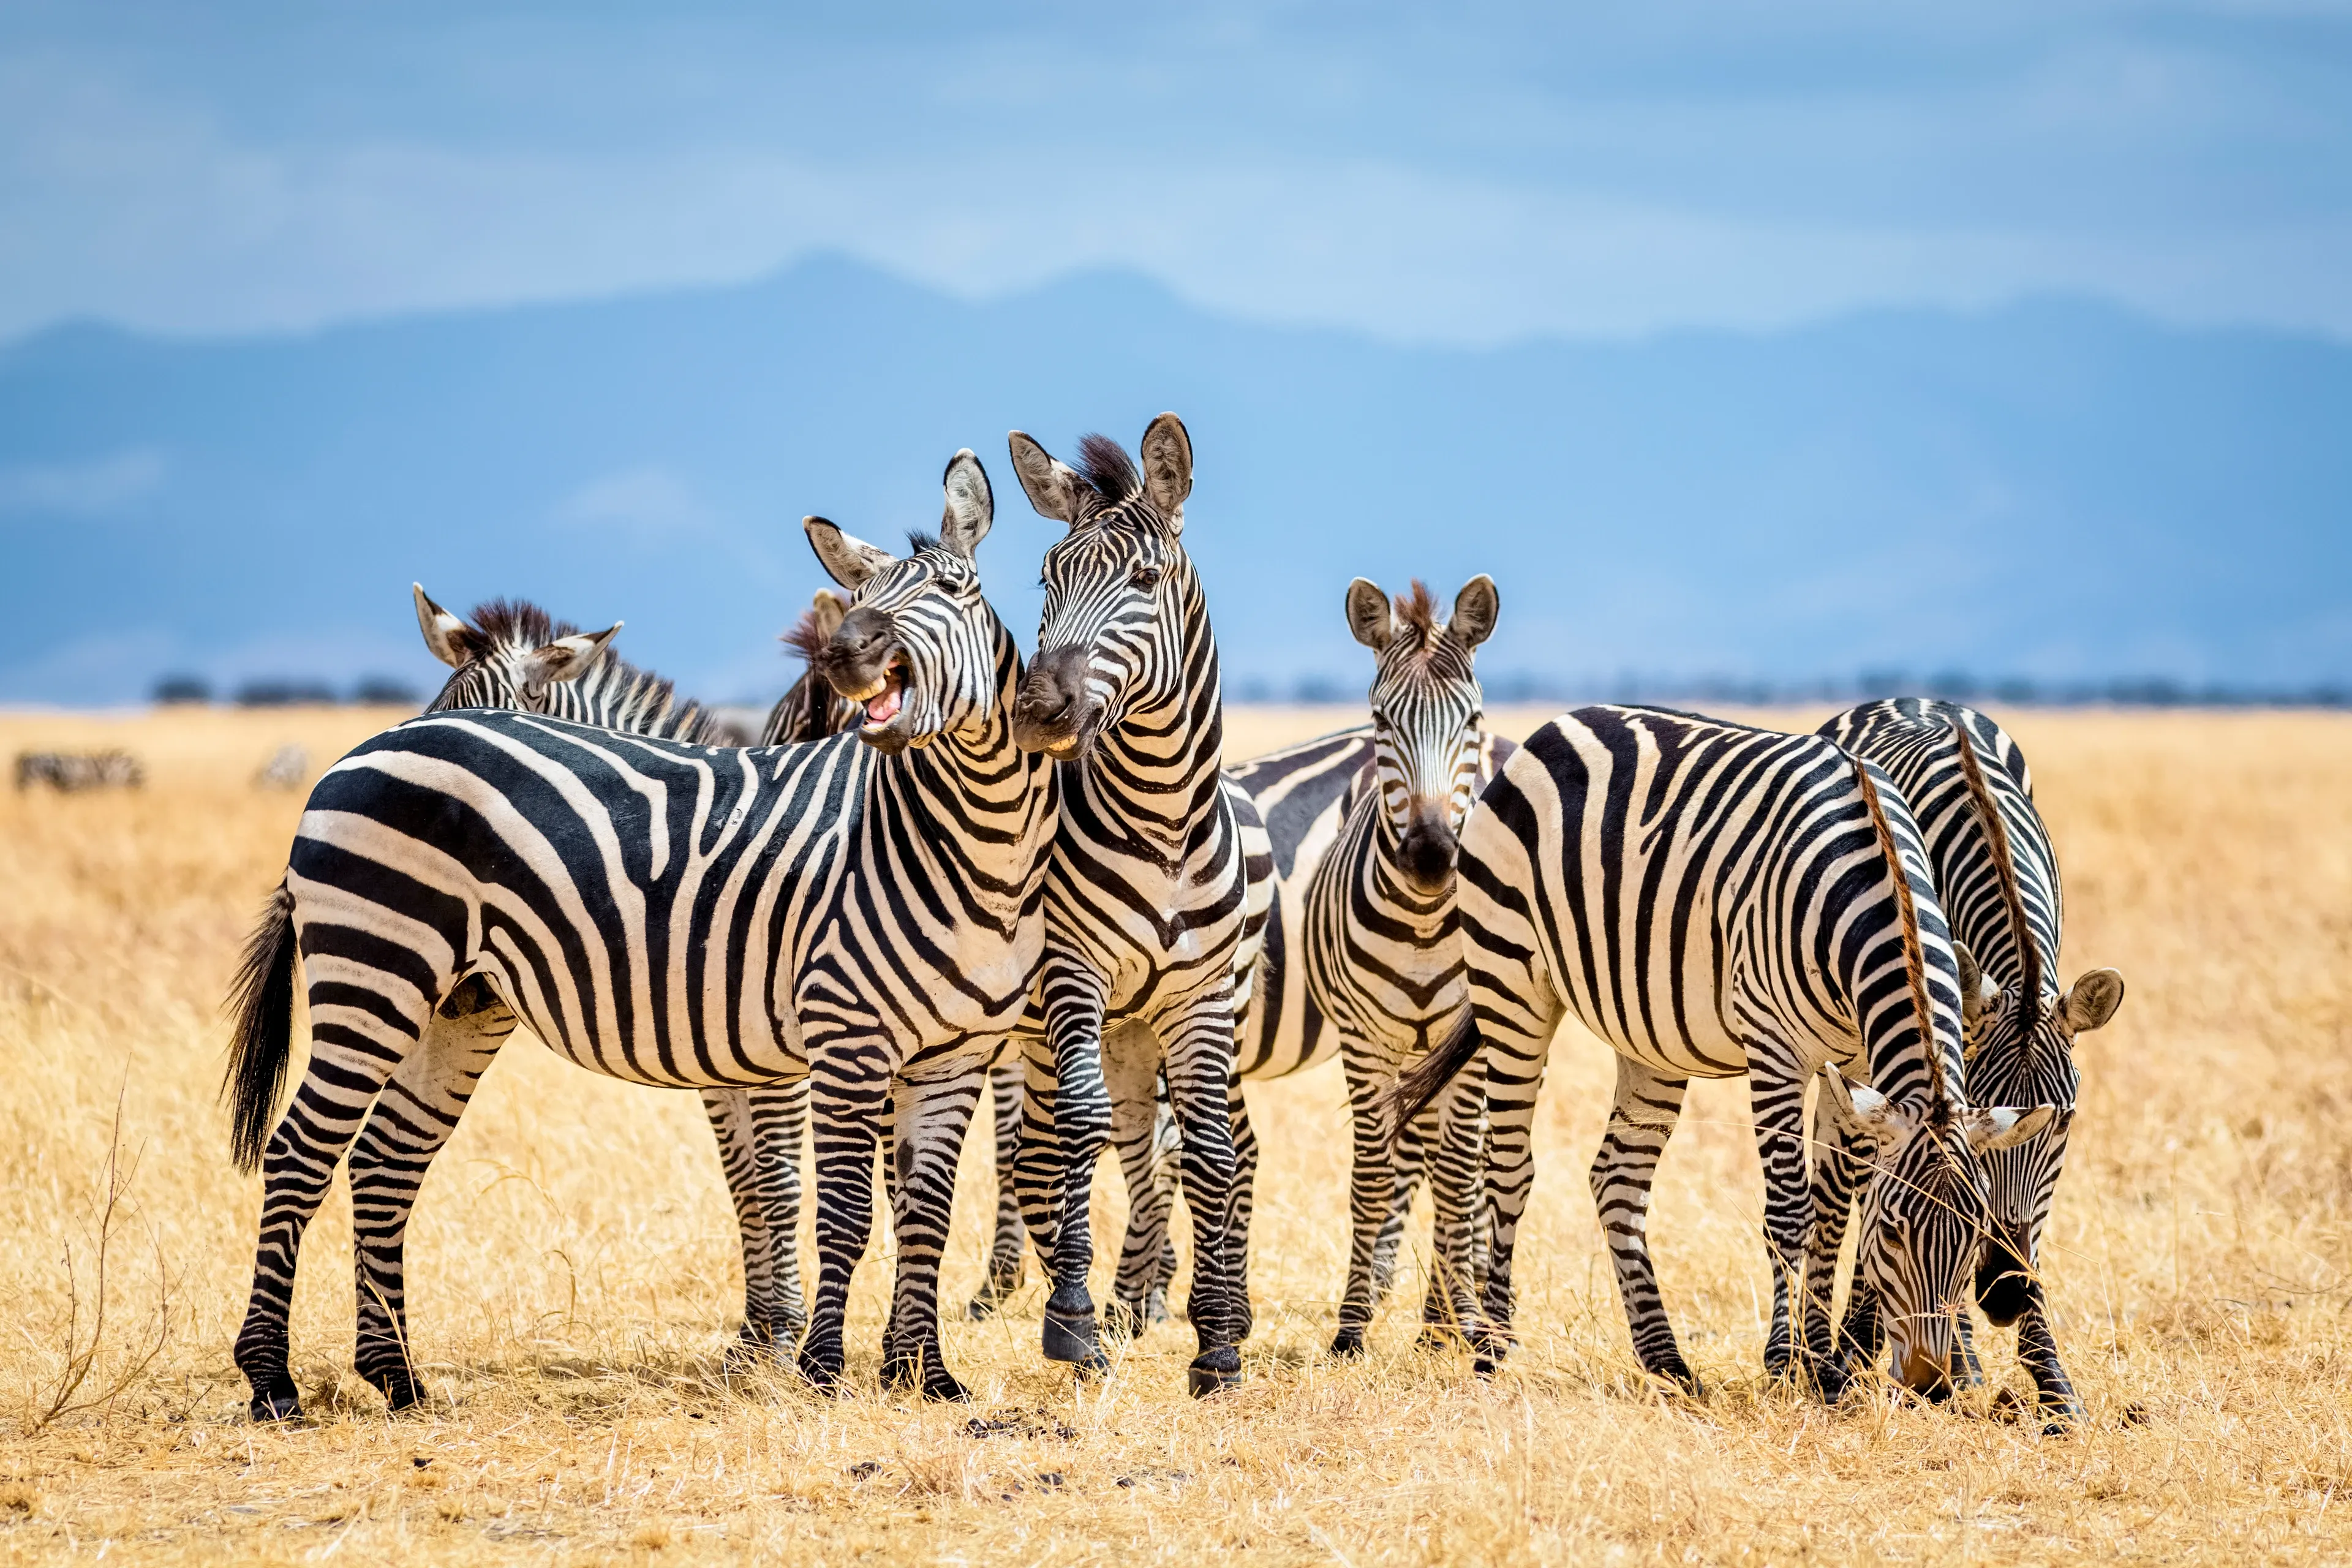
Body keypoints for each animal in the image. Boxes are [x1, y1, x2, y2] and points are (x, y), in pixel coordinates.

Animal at [223, 452, 1056, 1419]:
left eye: (956, 589)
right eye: (860, 597)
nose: (849, 655)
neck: (970, 839)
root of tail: (354, 757)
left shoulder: (947, 1051)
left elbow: (916, 1207)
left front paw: (921, 1373)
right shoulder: (834, 1039)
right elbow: (821, 1199)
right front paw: (809, 1362)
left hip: (456, 1004)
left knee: (385, 1161)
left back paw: (396, 1376)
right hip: (375, 974)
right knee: (299, 1154)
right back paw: (272, 1379)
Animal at [998, 414, 1262, 1396]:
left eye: (1145, 582)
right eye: (1047, 580)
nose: (1038, 710)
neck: (1164, 823)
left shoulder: (1199, 999)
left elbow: (1214, 1149)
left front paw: (1217, 1340)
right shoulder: (1071, 975)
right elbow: (1079, 1132)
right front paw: (1072, 1322)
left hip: (1141, 1028)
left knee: (1151, 1146)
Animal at [1385, 706, 2058, 1399]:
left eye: (1975, 1234)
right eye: (1893, 1232)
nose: (1930, 1384)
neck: (1875, 879)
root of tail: (1557, 725)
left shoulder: (1855, 1064)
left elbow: (1831, 1210)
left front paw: (1826, 1365)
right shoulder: (1775, 1049)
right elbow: (1791, 1210)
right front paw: (1789, 1363)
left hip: (1647, 1035)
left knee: (1618, 1178)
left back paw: (1666, 1361)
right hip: (1512, 983)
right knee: (1509, 1166)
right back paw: (1493, 1350)